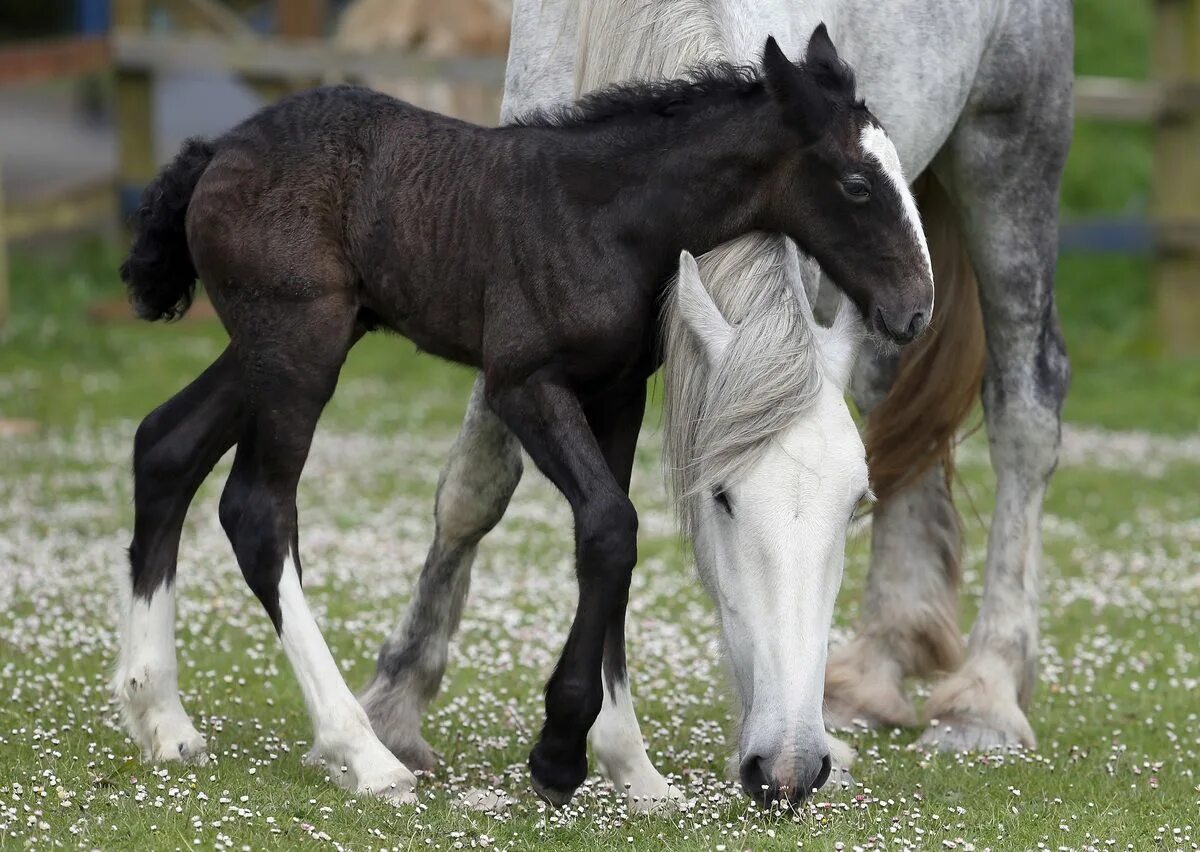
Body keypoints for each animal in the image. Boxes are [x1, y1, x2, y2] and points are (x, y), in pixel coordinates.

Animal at [114, 28, 926, 806]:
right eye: (857, 184)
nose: (916, 308)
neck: (606, 219)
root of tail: (219, 151)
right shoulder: (523, 383)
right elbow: (610, 527)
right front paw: (561, 754)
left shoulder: (617, 392)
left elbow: (608, 537)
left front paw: (631, 768)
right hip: (298, 345)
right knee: (257, 511)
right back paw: (363, 753)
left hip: (285, 342)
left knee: (164, 444)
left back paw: (161, 718)